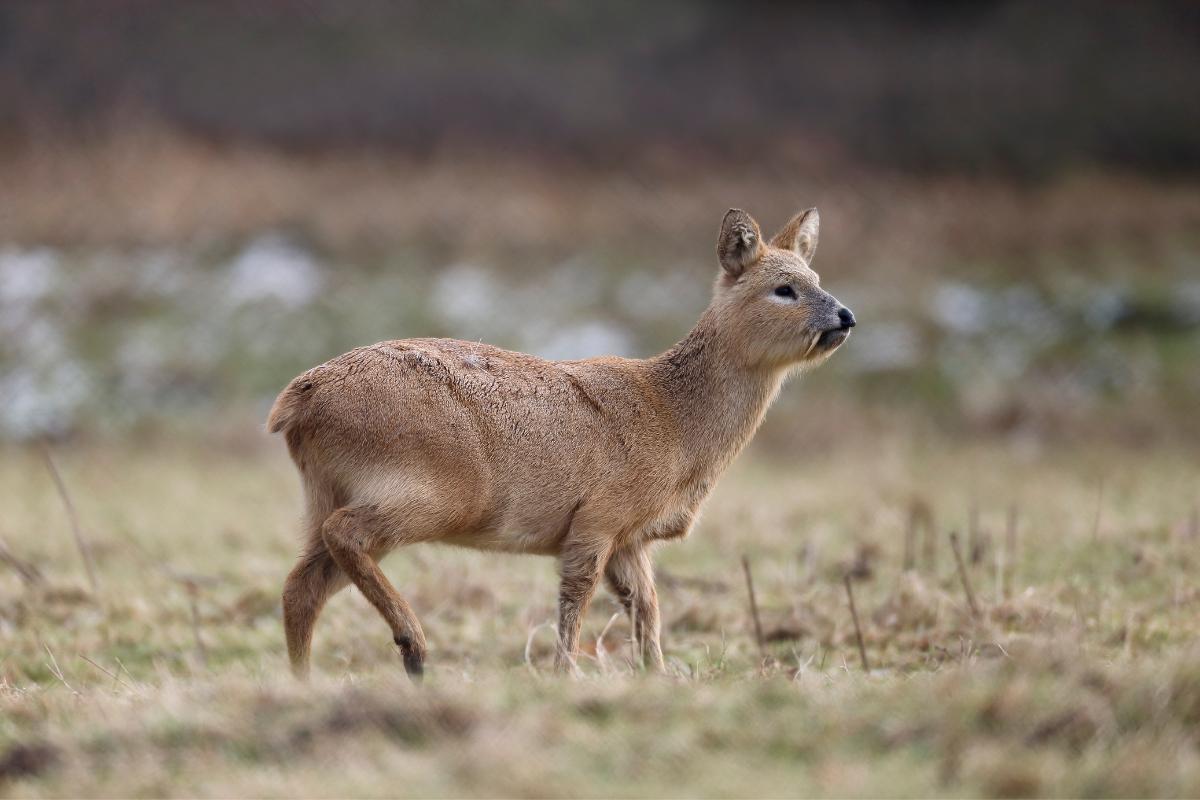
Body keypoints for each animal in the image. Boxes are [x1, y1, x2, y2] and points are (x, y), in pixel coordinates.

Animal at [269, 207, 855, 679]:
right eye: (783, 289)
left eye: (816, 276)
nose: (845, 315)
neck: (675, 422)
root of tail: (298, 398)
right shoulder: (597, 517)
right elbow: (578, 597)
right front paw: (564, 674)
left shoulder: (630, 538)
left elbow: (647, 607)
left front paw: (658, 676)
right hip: (433, 490)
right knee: (342, 537)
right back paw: (413, 645)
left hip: (334, 492)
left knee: (302, 583)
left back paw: (305, 680)